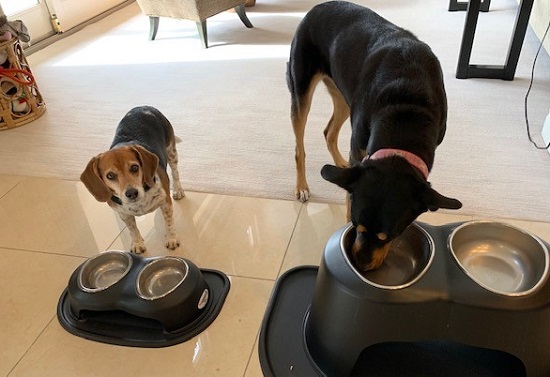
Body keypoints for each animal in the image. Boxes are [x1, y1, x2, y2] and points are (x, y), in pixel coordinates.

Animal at [81, 106, 187, 253]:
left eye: (134, 167)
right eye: (110, 176)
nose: (131, 193)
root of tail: (143, 107)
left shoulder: (165, 202)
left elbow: (169, 223)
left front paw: (171, 239)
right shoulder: (123, 214)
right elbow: (132, 229)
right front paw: (137, 243)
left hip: (171, 151)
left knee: (175, 172)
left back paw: (178, 190)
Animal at [292, 0, 464, 270]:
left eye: (391, 236)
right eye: (356, 227)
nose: (360, 266)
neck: (406, 107)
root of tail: (318, 7)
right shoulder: (361, 142)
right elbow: (350, 198)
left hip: (344, 98)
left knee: (329, 132)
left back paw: (340, 163)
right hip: (302, 87)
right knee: (300, 145)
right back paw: (302, 186)